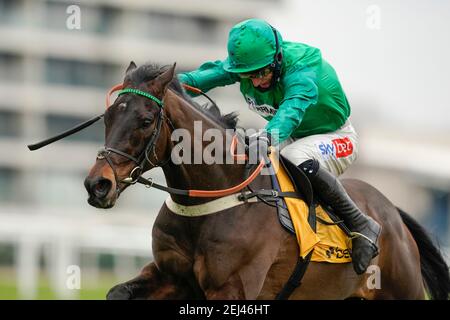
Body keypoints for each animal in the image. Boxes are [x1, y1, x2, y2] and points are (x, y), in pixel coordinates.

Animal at [82, 62, 448, 300]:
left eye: (145, 120)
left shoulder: (232, 288)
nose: (98, 185)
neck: (211, 198)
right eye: (107, 116)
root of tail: (393, 214)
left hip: (402, 288)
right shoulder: (171, 277)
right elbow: (117, 293)